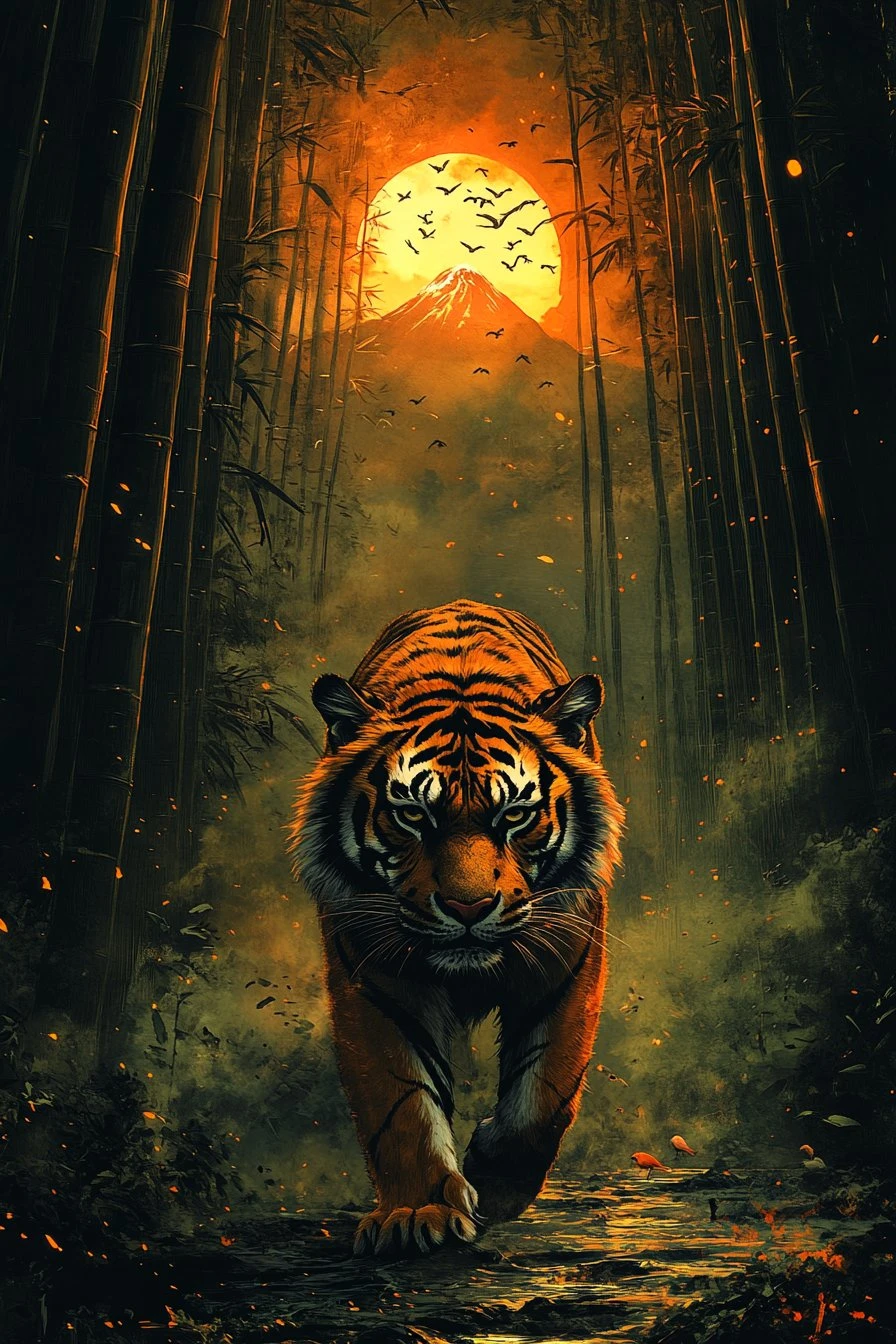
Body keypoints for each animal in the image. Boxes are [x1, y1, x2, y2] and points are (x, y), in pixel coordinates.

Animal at [290, 599, 623, 1255]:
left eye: (514, 815)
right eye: (413, 815)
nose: (468, 908)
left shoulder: (568, 963)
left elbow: (544, 1094)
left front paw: (494, 1186)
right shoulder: (375, 980)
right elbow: (400, 1101)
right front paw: (418, 1213)